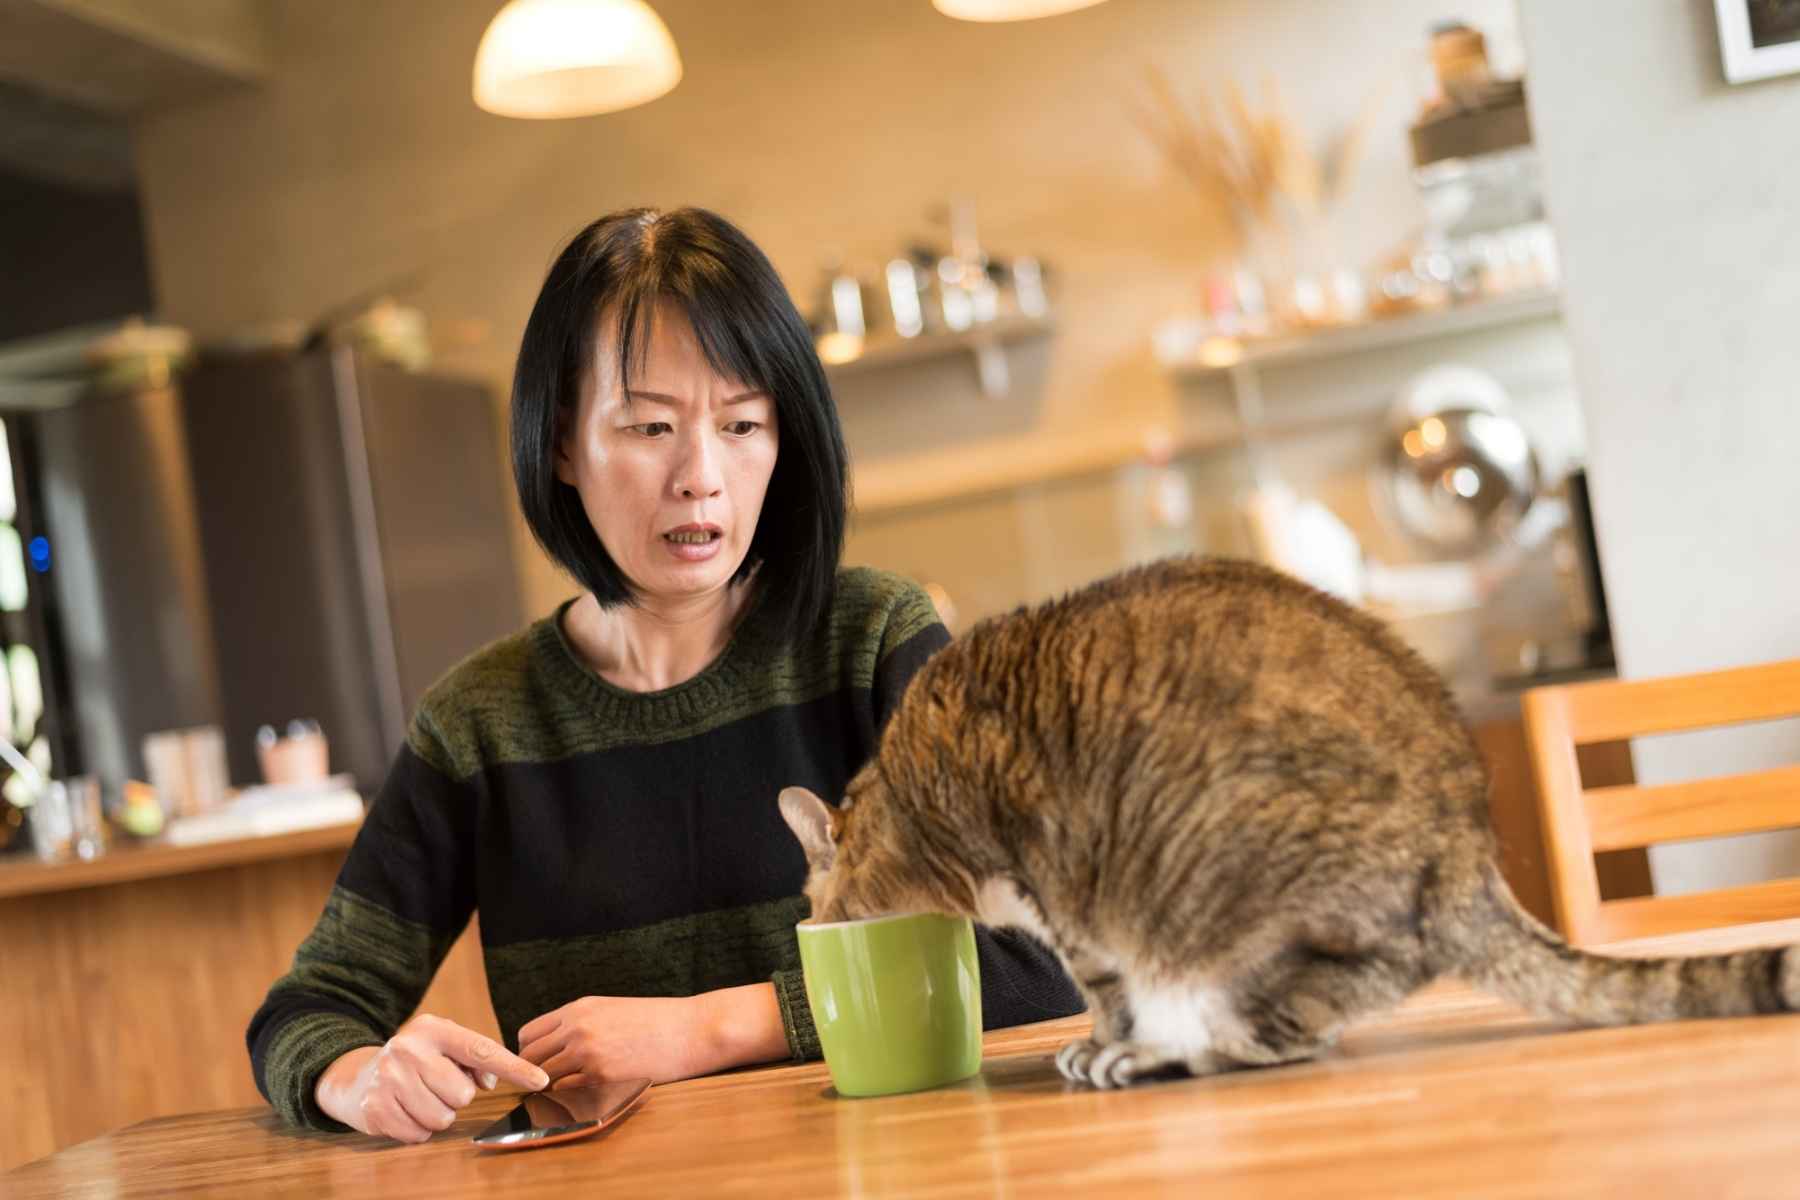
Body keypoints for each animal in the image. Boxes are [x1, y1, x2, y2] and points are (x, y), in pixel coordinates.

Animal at [777, 557, 1800, 1093]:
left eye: (811, 902)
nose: (813, 924)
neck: (908, 793)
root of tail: (1467, 863)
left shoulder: (1066, 901)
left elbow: (1103, 991)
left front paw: (1106, 1042)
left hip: (1227, 911)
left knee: (1273, 1030)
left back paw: (1158, 1053)